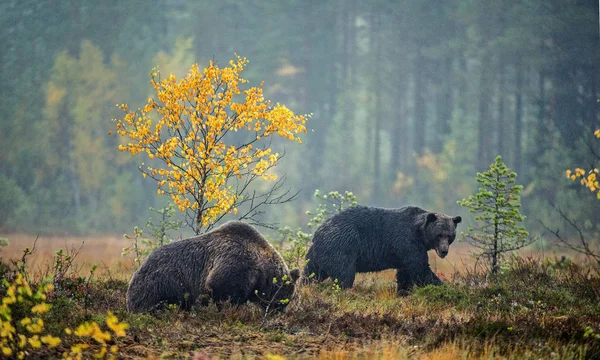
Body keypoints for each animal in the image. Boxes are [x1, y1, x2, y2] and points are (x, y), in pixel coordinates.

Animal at [308, 205, 462, 296]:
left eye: (450, 236)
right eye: (439, 235)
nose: (444, 251)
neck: (420, 234)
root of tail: (318, 231)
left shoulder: (405, 252)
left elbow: (405, 274)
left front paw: (403, 292)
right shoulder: (407, 242)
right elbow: (420, 269)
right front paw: (445, 288)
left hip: (318, 253)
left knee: (311, 272)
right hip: (341, 246)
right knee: (344, 274)